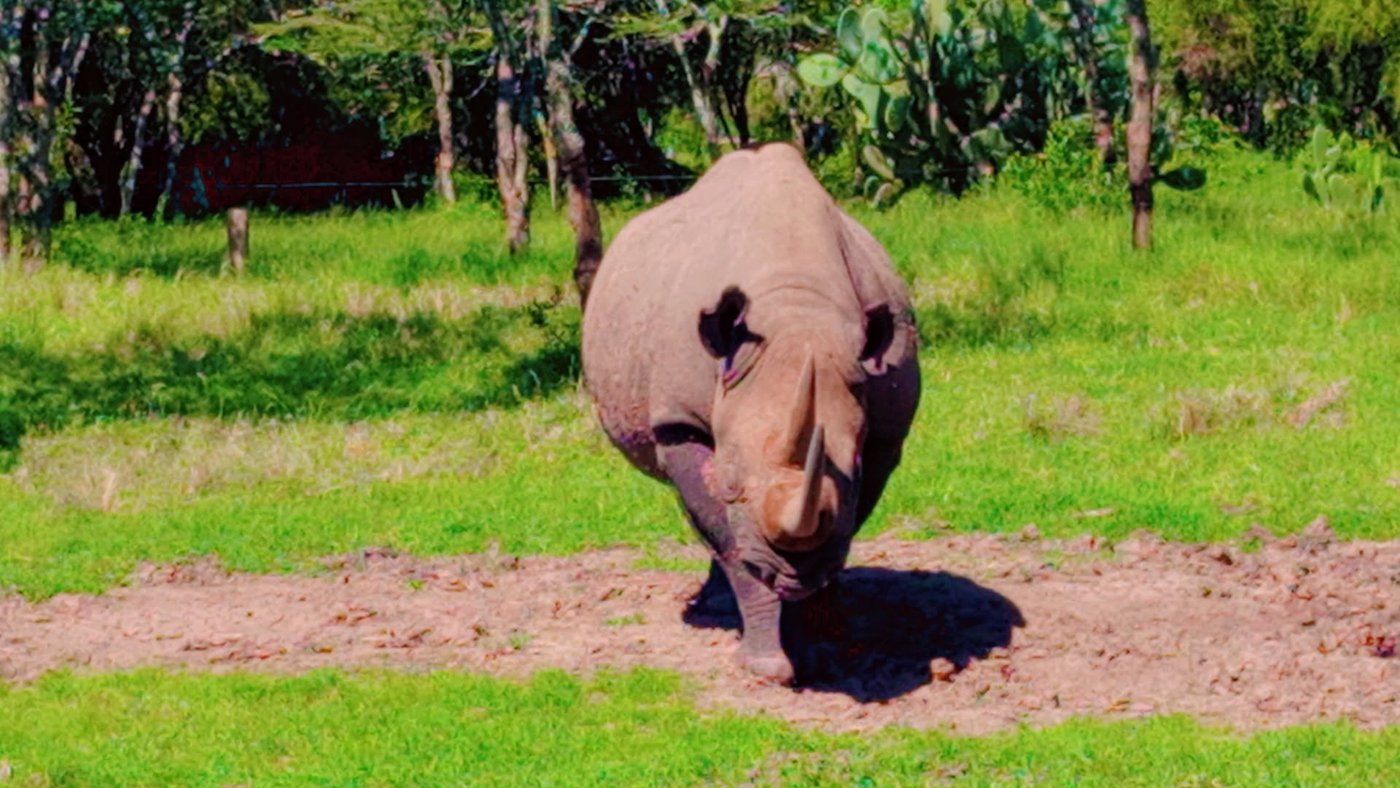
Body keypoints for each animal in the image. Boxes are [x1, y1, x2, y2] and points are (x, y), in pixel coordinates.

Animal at [580, 143, 920, 683]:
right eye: (731, 480)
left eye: (856, 465)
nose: (789, 573)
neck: (799, 312)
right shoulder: (680, 422)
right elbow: (732, 540)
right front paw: (765, 667)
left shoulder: (885, 435)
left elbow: (840, 527)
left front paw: (820, 646)